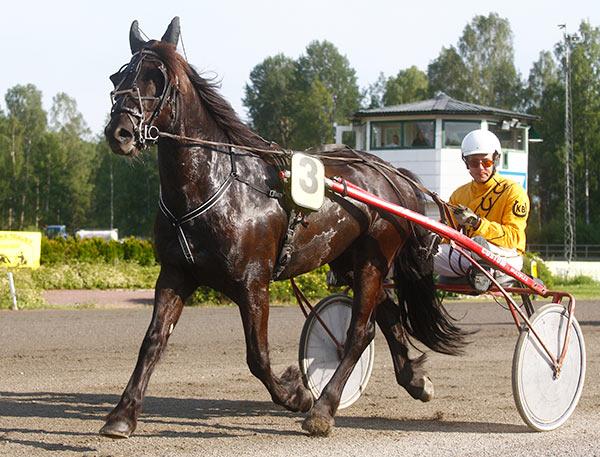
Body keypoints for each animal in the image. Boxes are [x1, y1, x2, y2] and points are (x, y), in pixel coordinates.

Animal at [102, 16, 468, 438]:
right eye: (118, 77)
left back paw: (323, 409)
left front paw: (297, 394)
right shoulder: (176, 273)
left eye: (159, 80)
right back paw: (414, 380)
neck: (215, 188)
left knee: (361, 331)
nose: (119, 132)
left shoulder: (253, 283)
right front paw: (122, 414)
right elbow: (153, 341)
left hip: (373, 259)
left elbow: (257, 357)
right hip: (346, 259)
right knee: (388, 314)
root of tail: (393, 175)